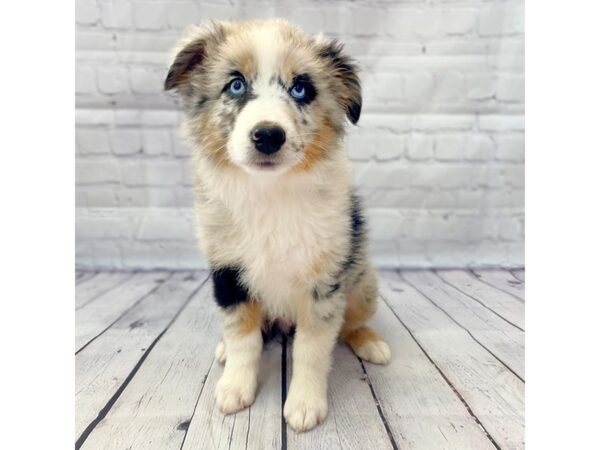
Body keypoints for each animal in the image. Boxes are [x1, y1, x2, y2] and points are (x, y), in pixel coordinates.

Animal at [165, 18, 390, 432]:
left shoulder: (324, 281)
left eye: (301, 88)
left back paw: (370, 342)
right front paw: (235, 387)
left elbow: (312, 348)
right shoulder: (228, 273)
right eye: (236, 84)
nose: (268, 135)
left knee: (350, 324)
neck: (270, 191)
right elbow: (243, 337)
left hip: (363, 282)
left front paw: (304, 403)